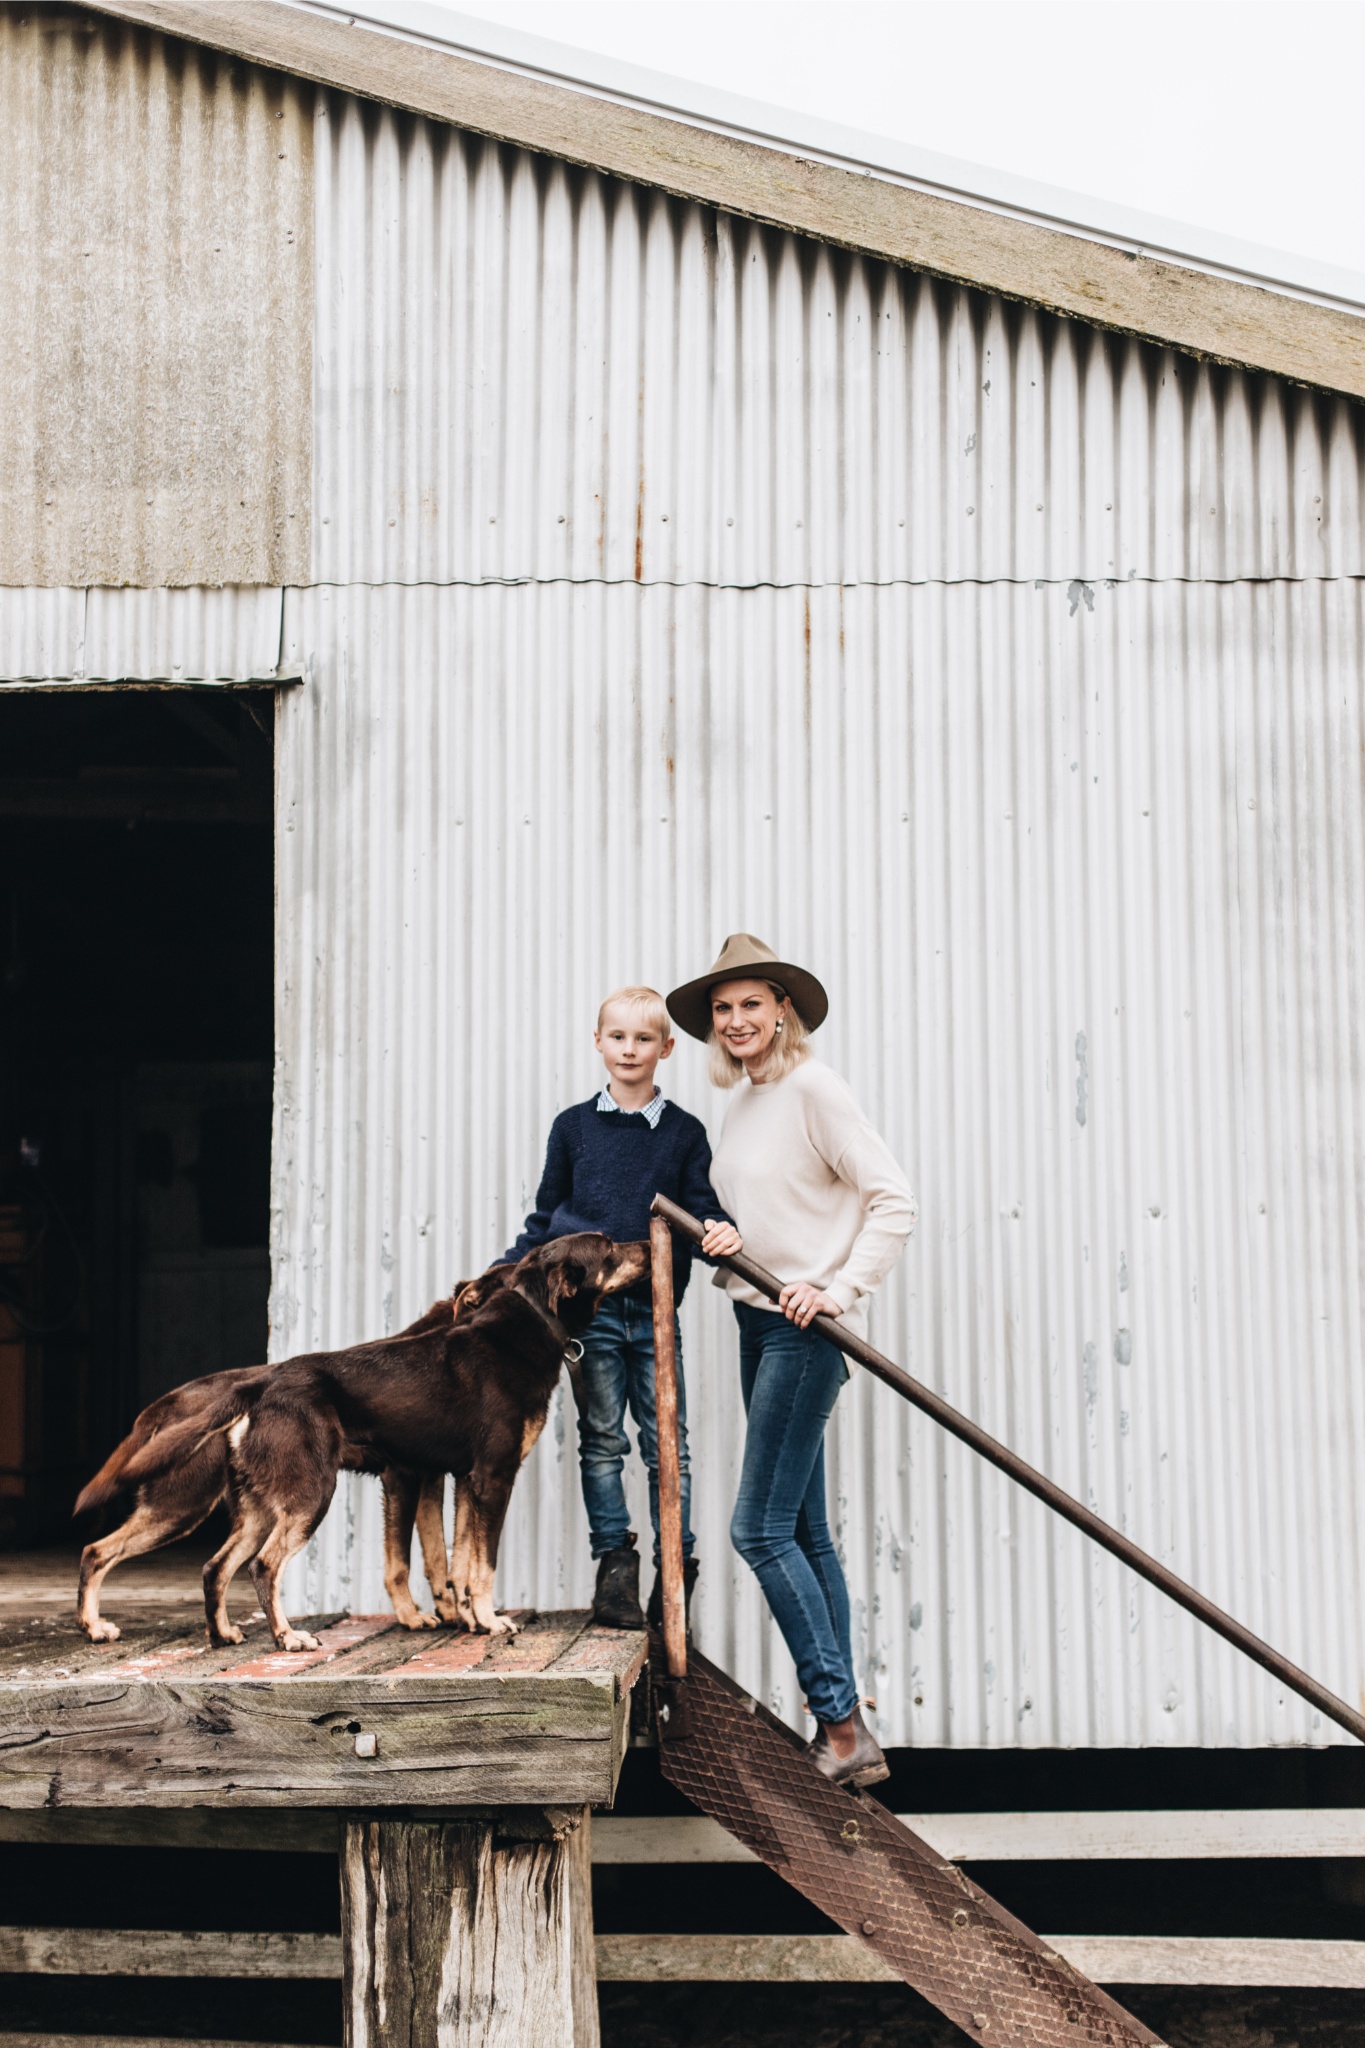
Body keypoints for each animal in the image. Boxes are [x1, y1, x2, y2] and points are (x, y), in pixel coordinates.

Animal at [77, 1228, 650, 1646]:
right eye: (607, 1247)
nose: (648, 1240)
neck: (526, 1323)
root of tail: (260, 1382)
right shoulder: (490, 1477)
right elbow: (478, 1564)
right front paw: (488, 1622)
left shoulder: (463, 1482)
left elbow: (460, 1562)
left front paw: (468, 1619)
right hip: (296, 1496)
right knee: (259, 1565)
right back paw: (287, 1637)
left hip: (258, 1505)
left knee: (211, 1565)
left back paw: (216, 1634)